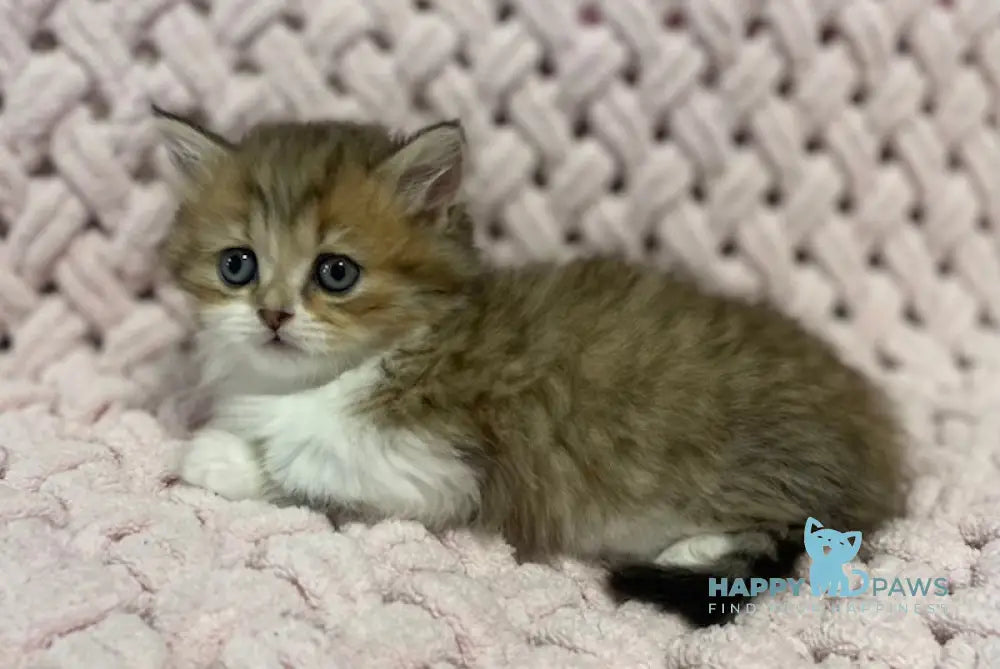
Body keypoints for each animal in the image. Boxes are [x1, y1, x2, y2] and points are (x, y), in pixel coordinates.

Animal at [154, 108, 908, 628]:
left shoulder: (439, 467)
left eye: (336, 273)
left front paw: (217, 456)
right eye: (237, 265)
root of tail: (878, 447)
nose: (273, 315)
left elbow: (308, 467)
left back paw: (690, 554)